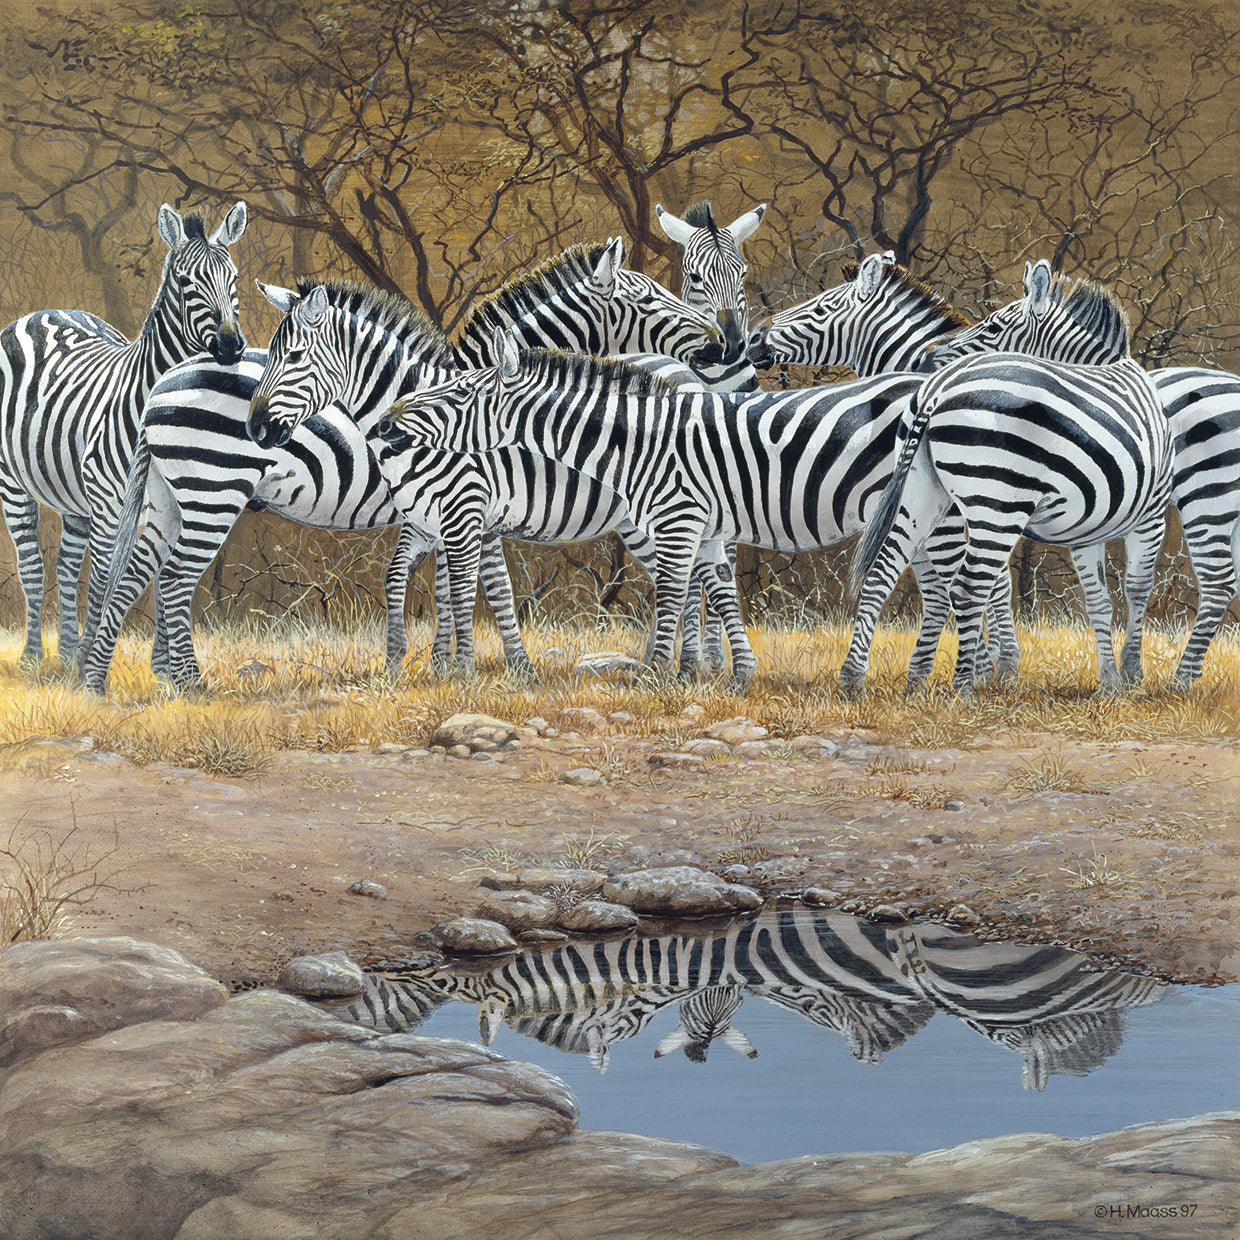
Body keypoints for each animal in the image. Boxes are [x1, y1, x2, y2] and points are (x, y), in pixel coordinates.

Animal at [0, 201, 247, 668]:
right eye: (185, 282)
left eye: (235, 278)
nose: (231, 345)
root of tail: (43, 312)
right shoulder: (112, 505)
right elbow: (105, 581)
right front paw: (93, 665)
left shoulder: (167, 503)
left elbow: (159, 579)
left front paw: (162, 667)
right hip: (15, 481)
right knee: (33, 568)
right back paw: (34, 656)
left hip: (77, 501)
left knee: (66, 566)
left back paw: (66, 652)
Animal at [75, 241, 725, 690]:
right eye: (650, 299)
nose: (721, 343)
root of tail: (161, 383)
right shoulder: (465, 507)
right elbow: (485, 585)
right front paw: (492, 667)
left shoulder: (449, 513)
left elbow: (444, 582)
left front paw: (442, 665)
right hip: (212, 490)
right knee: (171, 578)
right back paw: (182, 682)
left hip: (172, 494)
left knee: (138, 575)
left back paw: (110, 679)